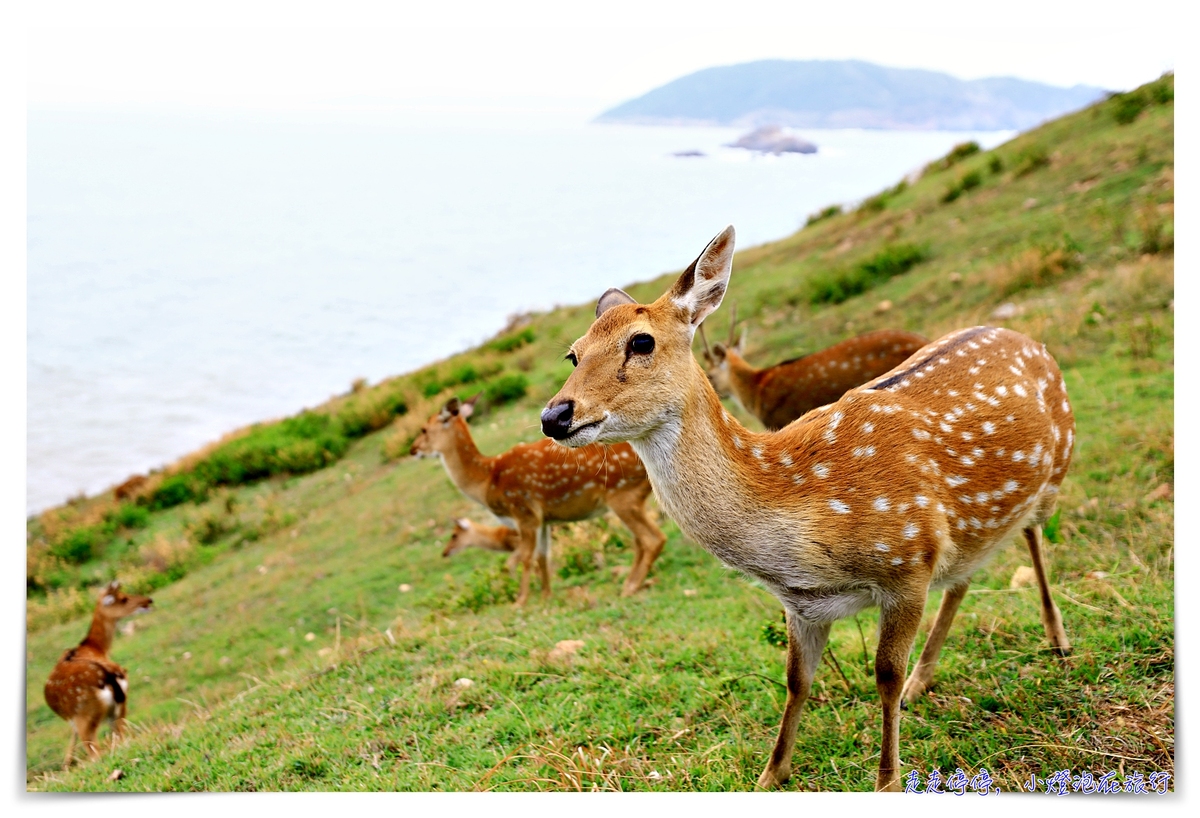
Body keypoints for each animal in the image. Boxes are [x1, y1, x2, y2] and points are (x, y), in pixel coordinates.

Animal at [44, 580, 153, 762]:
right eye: (123, 598)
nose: (149, 600)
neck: (95, 648)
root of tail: (108, 677)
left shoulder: (73, 720)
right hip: (120, 708)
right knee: (121, 738)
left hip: (85, 716)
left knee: (95, 753)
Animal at [410, 391, 667, 602]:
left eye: (424, 429)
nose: (413, 449)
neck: (487, 480)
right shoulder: (543, 519)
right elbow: (542, 556)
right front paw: (545, 595)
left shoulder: (524, 511)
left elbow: (524, 557)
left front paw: (521, 600)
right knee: (641, 539)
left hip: (621, 495)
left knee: (653, 538)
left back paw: (630, 587)